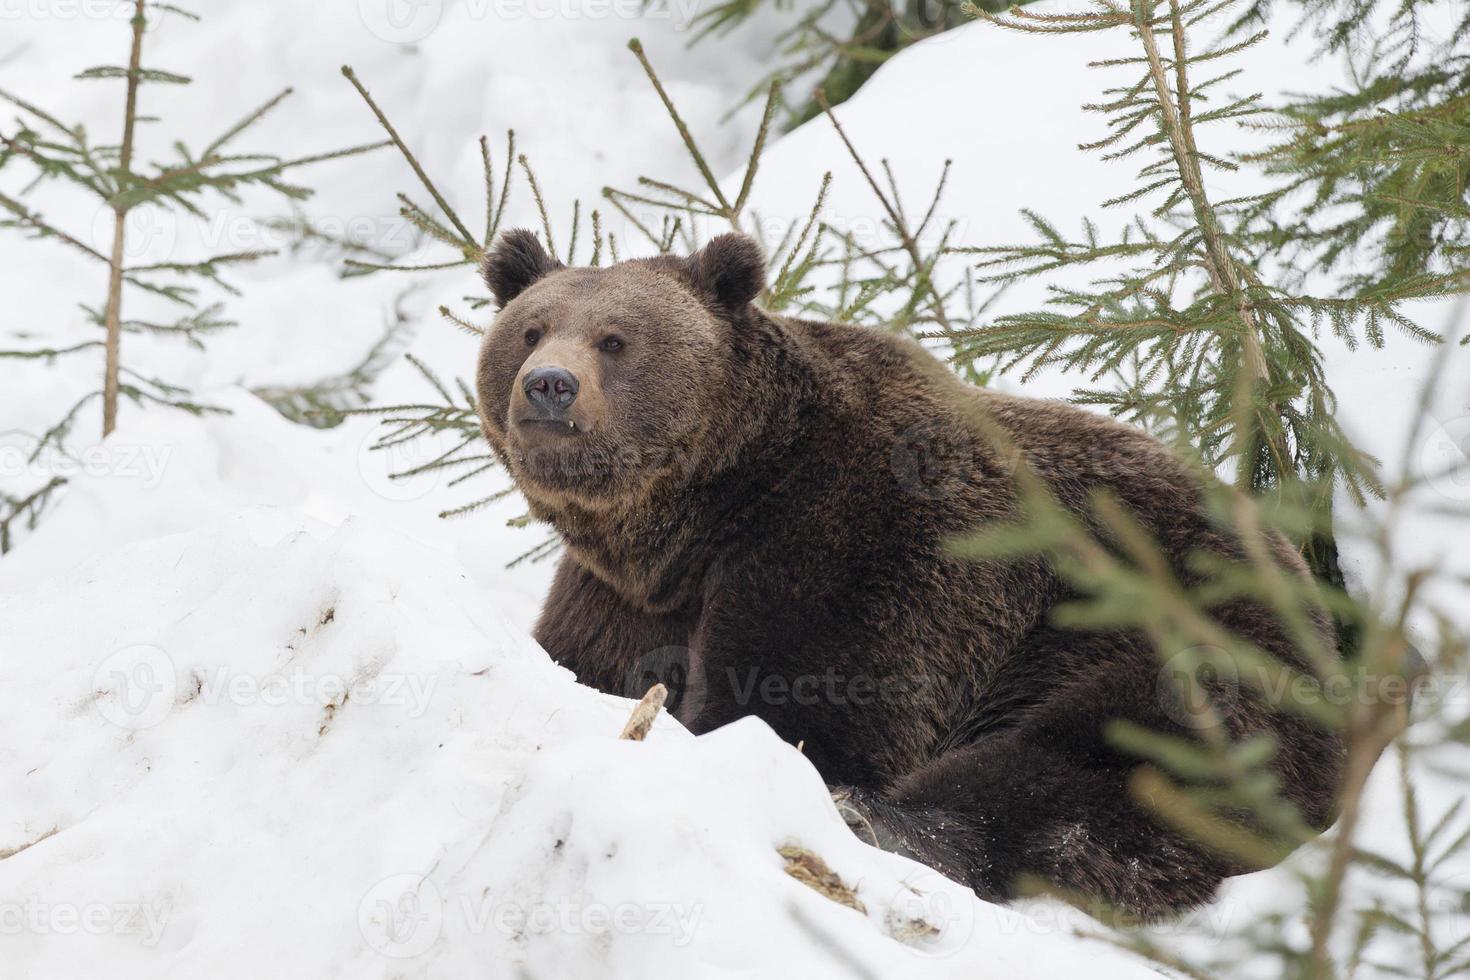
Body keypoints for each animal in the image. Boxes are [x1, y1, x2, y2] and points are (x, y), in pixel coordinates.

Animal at [473, 227, 1346, 922]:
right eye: (532, 329)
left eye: (616, 339)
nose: (548, 385)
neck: (707, 512)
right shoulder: (624, 597)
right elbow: (585, 660)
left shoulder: (860, 547)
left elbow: (812, 706)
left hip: (1171, 639)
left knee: (1101, 762)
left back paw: (887, 824)